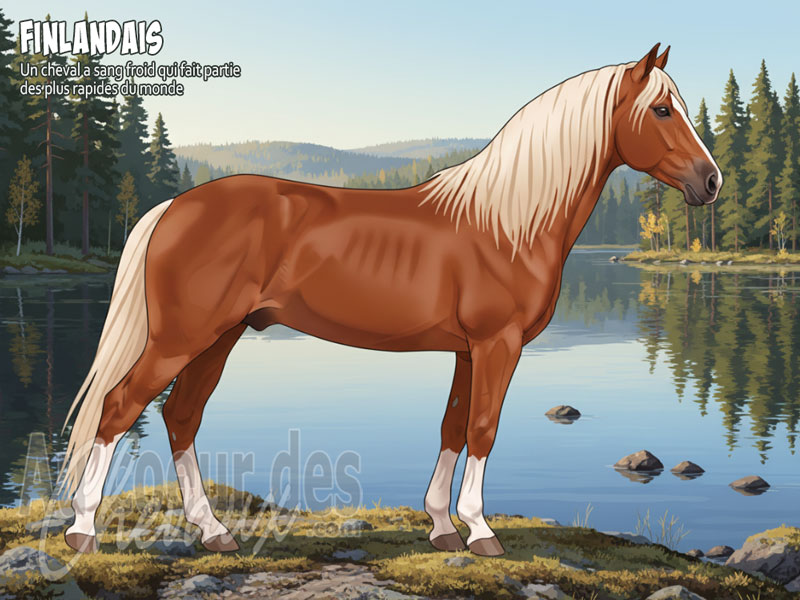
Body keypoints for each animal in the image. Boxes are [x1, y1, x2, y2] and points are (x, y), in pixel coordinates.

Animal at [62, 44, 721, 557]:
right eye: (662, 109)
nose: (710, 182)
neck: (509, 223)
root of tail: (173, 206)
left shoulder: (468, 351)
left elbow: (454, 427)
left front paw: (442, 527)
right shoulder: (497, 344)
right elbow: (483, 428)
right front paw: (482, 532)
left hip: (218, 337)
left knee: (181, 416)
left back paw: (213, 531)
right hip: (182, 337)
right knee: (120, 407)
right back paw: (84, 530)